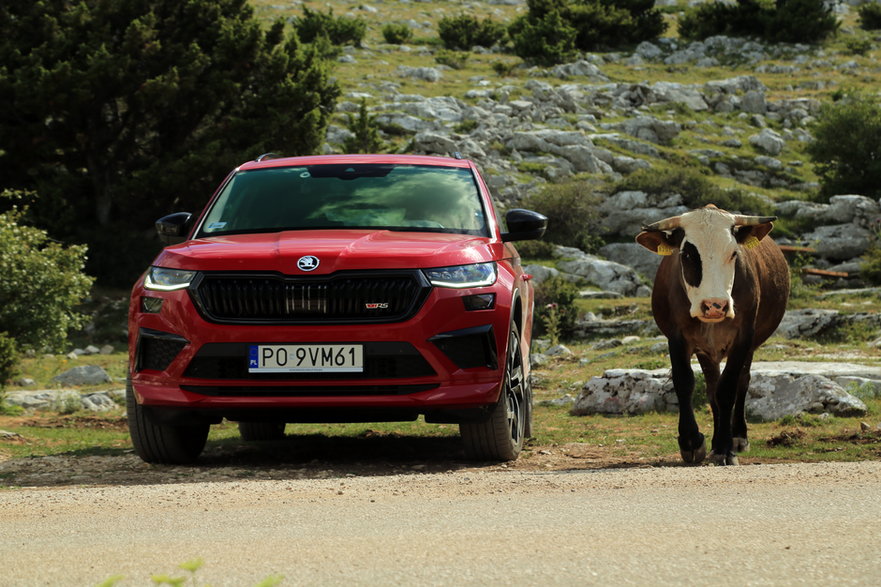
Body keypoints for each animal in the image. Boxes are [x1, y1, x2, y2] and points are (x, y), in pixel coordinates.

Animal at [636, 204, 788, 466]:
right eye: (687, 255)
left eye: (734, 254)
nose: (715, 305)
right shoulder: (677, 337)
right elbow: (685, 382)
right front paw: (691, 441)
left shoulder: (743, 338)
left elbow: (728, 389)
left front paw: (726, 449)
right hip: (708, 352)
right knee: (711, 388)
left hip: (748, 346)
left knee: (741, 382)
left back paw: (736, 437)